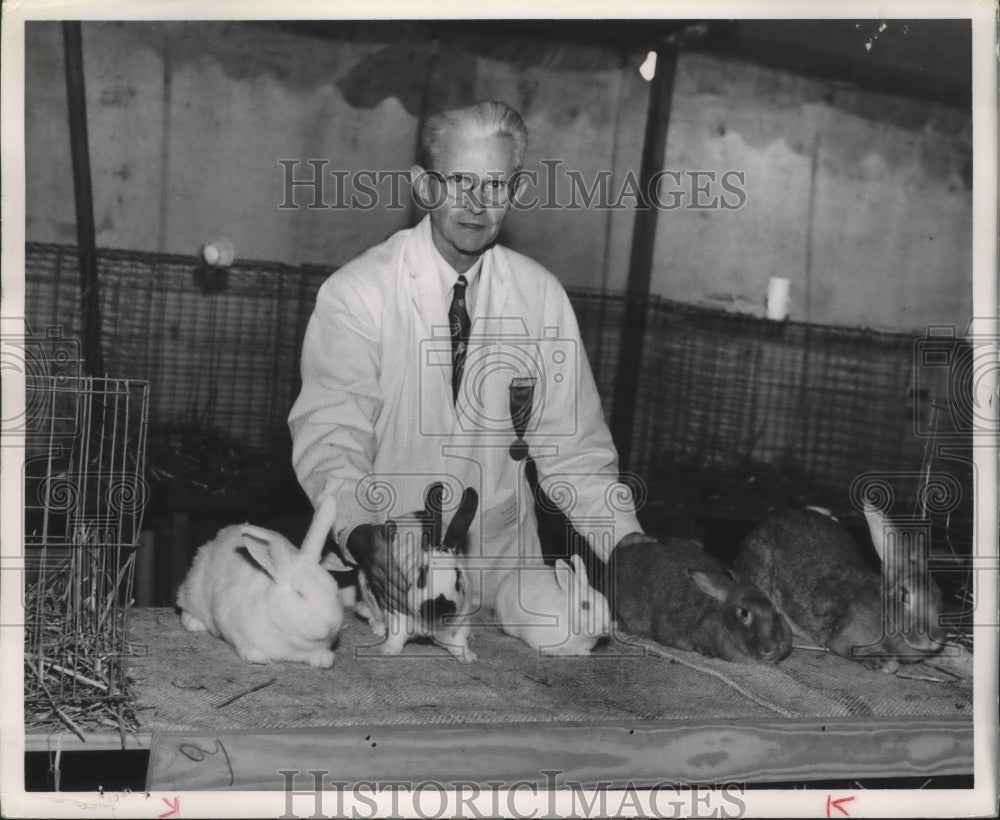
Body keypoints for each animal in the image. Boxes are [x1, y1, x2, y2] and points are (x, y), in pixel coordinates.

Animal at [180, 494, 348, 668]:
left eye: (336, 592)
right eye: (299, 593)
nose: (330, 626)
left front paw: (324, 659)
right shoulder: (227, 618)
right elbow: (241, 642)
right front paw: (256, 656)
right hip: (193, 591)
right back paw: (194, 624)